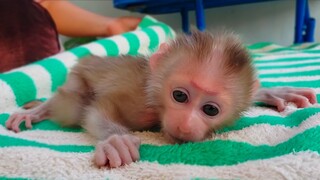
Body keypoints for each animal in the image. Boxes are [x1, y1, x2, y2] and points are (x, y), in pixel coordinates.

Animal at [6, 30, 316, 167]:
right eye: (179, 96)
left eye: (210, 109)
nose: (186, 123)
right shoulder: (139, 101)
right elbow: (97, 110)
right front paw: (116, 140)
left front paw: (271, 92)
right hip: (77, 78)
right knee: (73, 104)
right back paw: (37, 110)